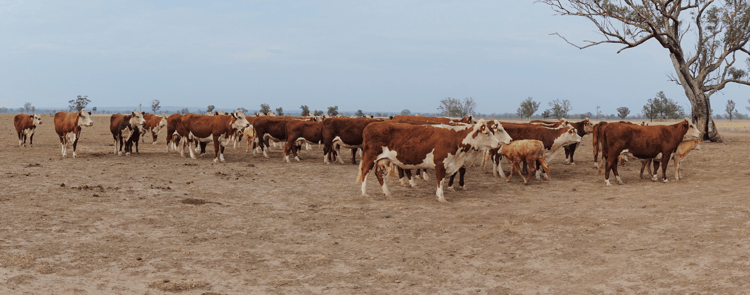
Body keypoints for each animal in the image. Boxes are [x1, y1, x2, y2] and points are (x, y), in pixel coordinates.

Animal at [358, 119, 512, 202]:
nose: (498, 143)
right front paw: (441, 197)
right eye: (488, 133)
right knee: (365, 172)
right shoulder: (440, 163)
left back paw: (387, 192)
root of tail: (372, 125)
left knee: (378, 174)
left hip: (382, 160)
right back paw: (364, 193)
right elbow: (440, 180)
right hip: (370, 157)